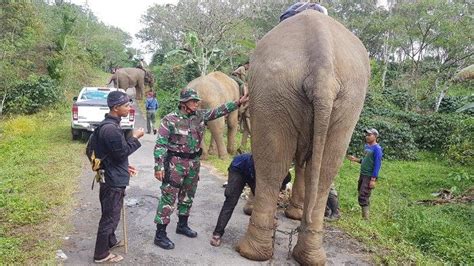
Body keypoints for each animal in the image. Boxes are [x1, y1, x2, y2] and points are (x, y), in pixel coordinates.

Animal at [237, 9, 370, 264]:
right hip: (346, 101)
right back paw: (308, 255)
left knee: (273, 166)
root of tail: (323, 64)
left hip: (275, 93)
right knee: (326, 170)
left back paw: (249, 252)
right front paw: (296, 214)